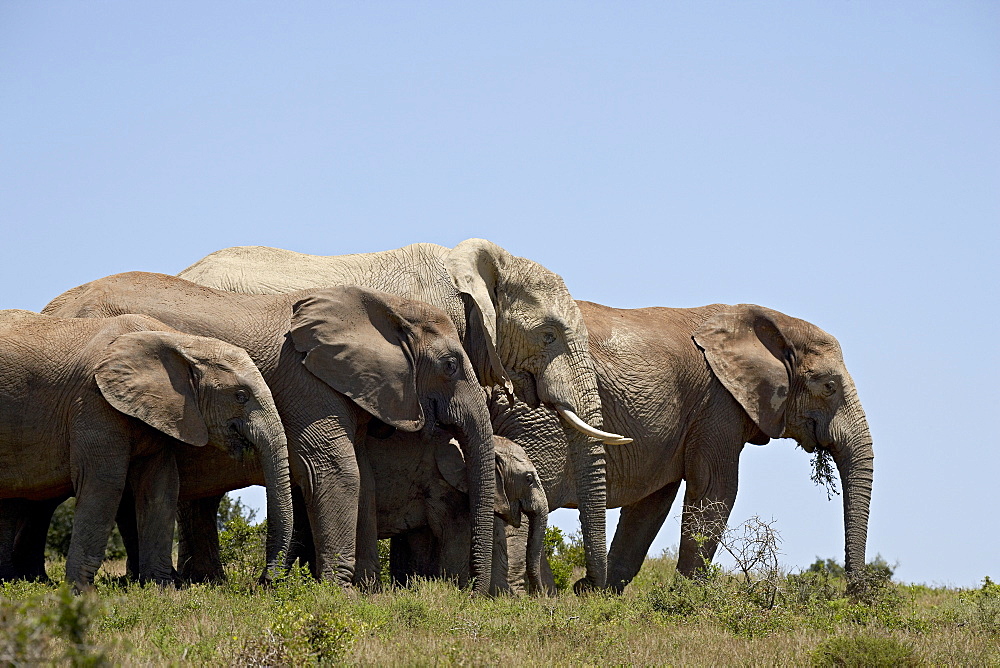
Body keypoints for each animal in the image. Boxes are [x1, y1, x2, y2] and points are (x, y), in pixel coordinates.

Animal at [0, 310, 292, 588]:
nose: (266, 582)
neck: (182, 341)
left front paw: (162, 589)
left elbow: (160, 486)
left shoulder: (161, 410)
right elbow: (105, 484)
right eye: (241, 396)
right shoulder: (93, 402)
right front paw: (80, 593)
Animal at [45, 272, 498, 596]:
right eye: (451, 365)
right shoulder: (304, 380)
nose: (473, 595)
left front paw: (368, 592)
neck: (386, 307)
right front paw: (341, 594)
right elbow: (336, 468)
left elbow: (362, 475)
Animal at [492, 302, 876, 588]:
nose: (854, 593)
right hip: (537, 415)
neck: (773, 323)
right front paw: (687, 601)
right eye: (828, 386)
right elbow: (715, 490)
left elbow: (650, 505)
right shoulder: (719, 403)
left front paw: (603, 597)